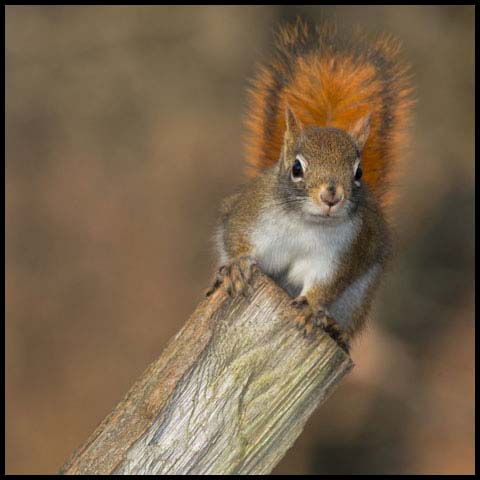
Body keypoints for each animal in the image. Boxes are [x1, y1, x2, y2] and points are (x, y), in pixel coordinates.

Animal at [205, 20, 412, 350]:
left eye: (359, 173)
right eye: (296, 168)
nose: (331, 196)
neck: (305, 223)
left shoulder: (340, 254)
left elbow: (323, 284)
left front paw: (312, 309)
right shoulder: (250, 214)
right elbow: (236, 237)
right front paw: (237, 266)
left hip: (356, 299)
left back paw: (335, 330)